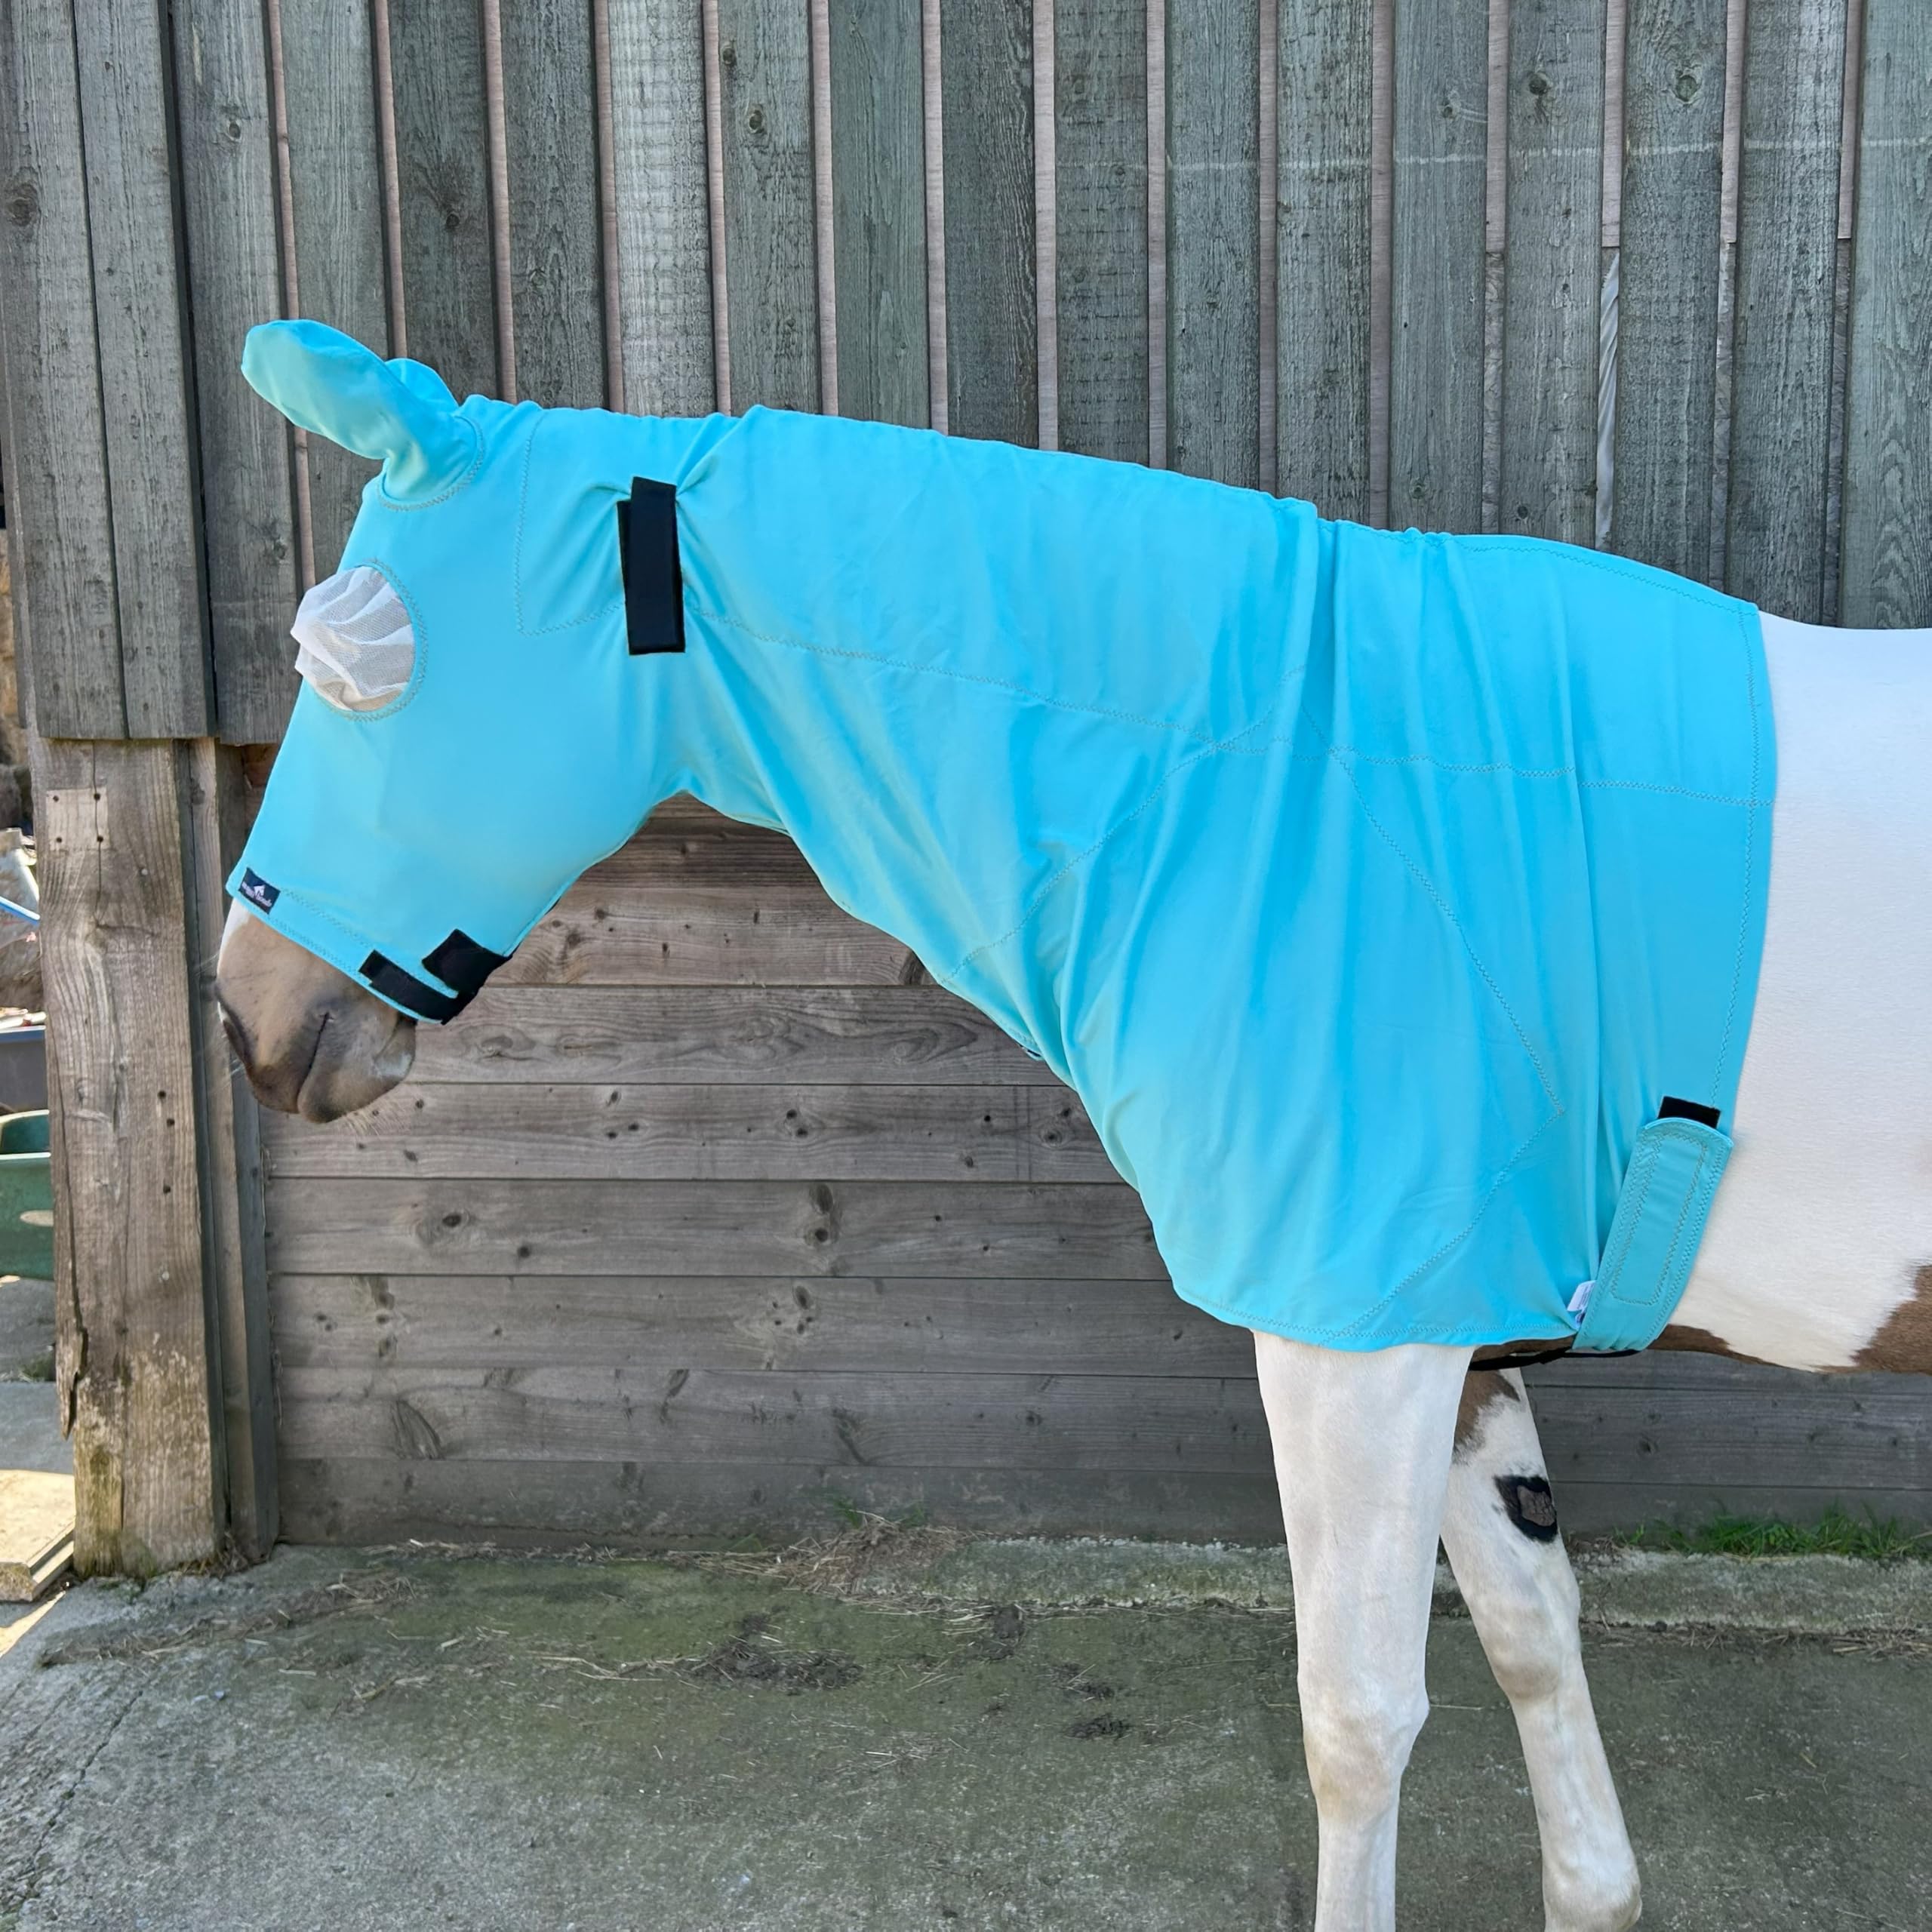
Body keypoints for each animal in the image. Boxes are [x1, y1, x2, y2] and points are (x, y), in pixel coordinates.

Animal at [214, 320, 1932, 1932]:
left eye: (365, 671)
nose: (247, 1016)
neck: (1289, 790)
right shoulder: (1455, 1331)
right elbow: (1528, 1645)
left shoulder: (1356, 1346)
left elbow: (1356, 1721)